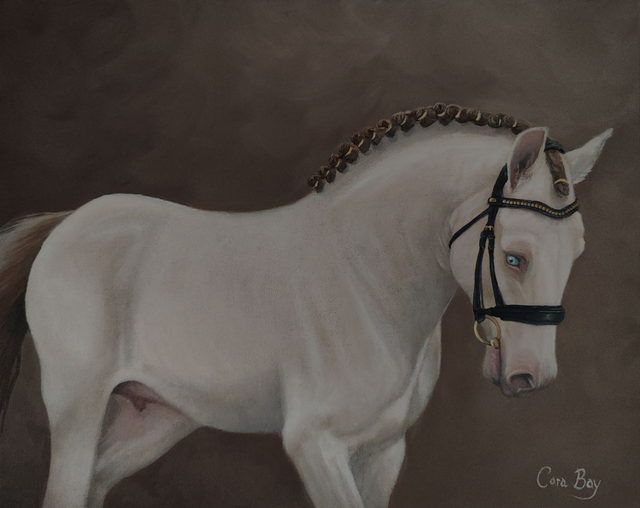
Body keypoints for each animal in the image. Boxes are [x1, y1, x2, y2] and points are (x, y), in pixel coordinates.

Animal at [0, 103, 611, 508]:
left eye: (579, 250)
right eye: (514, 257)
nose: (531, 376)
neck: (367, 278)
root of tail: (67, 223)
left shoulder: (382, 452)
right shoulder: (316, 445)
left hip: (156, 415)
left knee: (95, 482)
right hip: (77, 407)